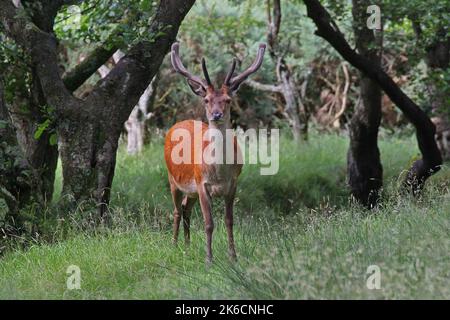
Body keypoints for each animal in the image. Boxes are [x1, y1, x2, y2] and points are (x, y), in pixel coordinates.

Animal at [163, 42, 266, 262]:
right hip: (173, 179)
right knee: (176, 211)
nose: (216, 115)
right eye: (207, 100)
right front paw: (209, 259)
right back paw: (174, 245)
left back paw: (187, 246)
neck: (218, 173)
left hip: (190, 189)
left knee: (185, 208)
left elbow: (229, 220)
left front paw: (233, 256)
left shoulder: (233, 184)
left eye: (227, 100)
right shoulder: (202, 183)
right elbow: (209, 223)